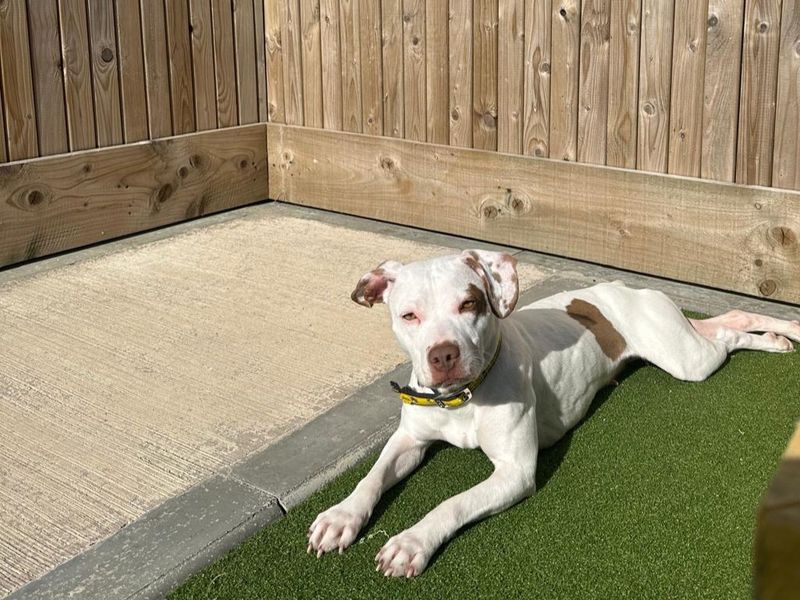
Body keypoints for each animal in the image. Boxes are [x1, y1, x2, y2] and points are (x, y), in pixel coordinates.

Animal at [304, 248, 792, 576]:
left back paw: (775, 340)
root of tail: (622, 287)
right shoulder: (409, 440)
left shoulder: (514, 472)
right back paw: (782, 330)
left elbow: (453, 502)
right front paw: (340, 517)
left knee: (725, 339)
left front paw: (411, 542)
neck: (462, 399)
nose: (443, 354)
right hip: (683, 336)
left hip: (686, 359)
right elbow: (373, 476)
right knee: (732, 317)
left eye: (469, 303)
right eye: (409, 315)